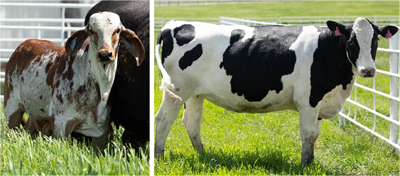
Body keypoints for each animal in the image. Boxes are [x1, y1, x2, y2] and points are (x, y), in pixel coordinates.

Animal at [3, 11, 145, 148]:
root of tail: (22, 46)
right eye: (91, 30)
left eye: (117, 30)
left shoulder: (102, 130)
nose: (105, 54)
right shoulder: (61, 124)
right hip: (11, 108)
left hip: (35, 113)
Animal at [155, 17, 398, 165]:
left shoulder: (320, 102)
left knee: (191, 122)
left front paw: (311, 163)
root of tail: (174, 24)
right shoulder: (308, 100)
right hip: (176, 90)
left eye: (375, 39)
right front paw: (304, 166)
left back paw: (204, 155)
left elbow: (315, 135)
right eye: (351, 40)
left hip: (194, 93)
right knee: (163, 120)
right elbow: (307, 134)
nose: (368, 70)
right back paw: (159, 156)